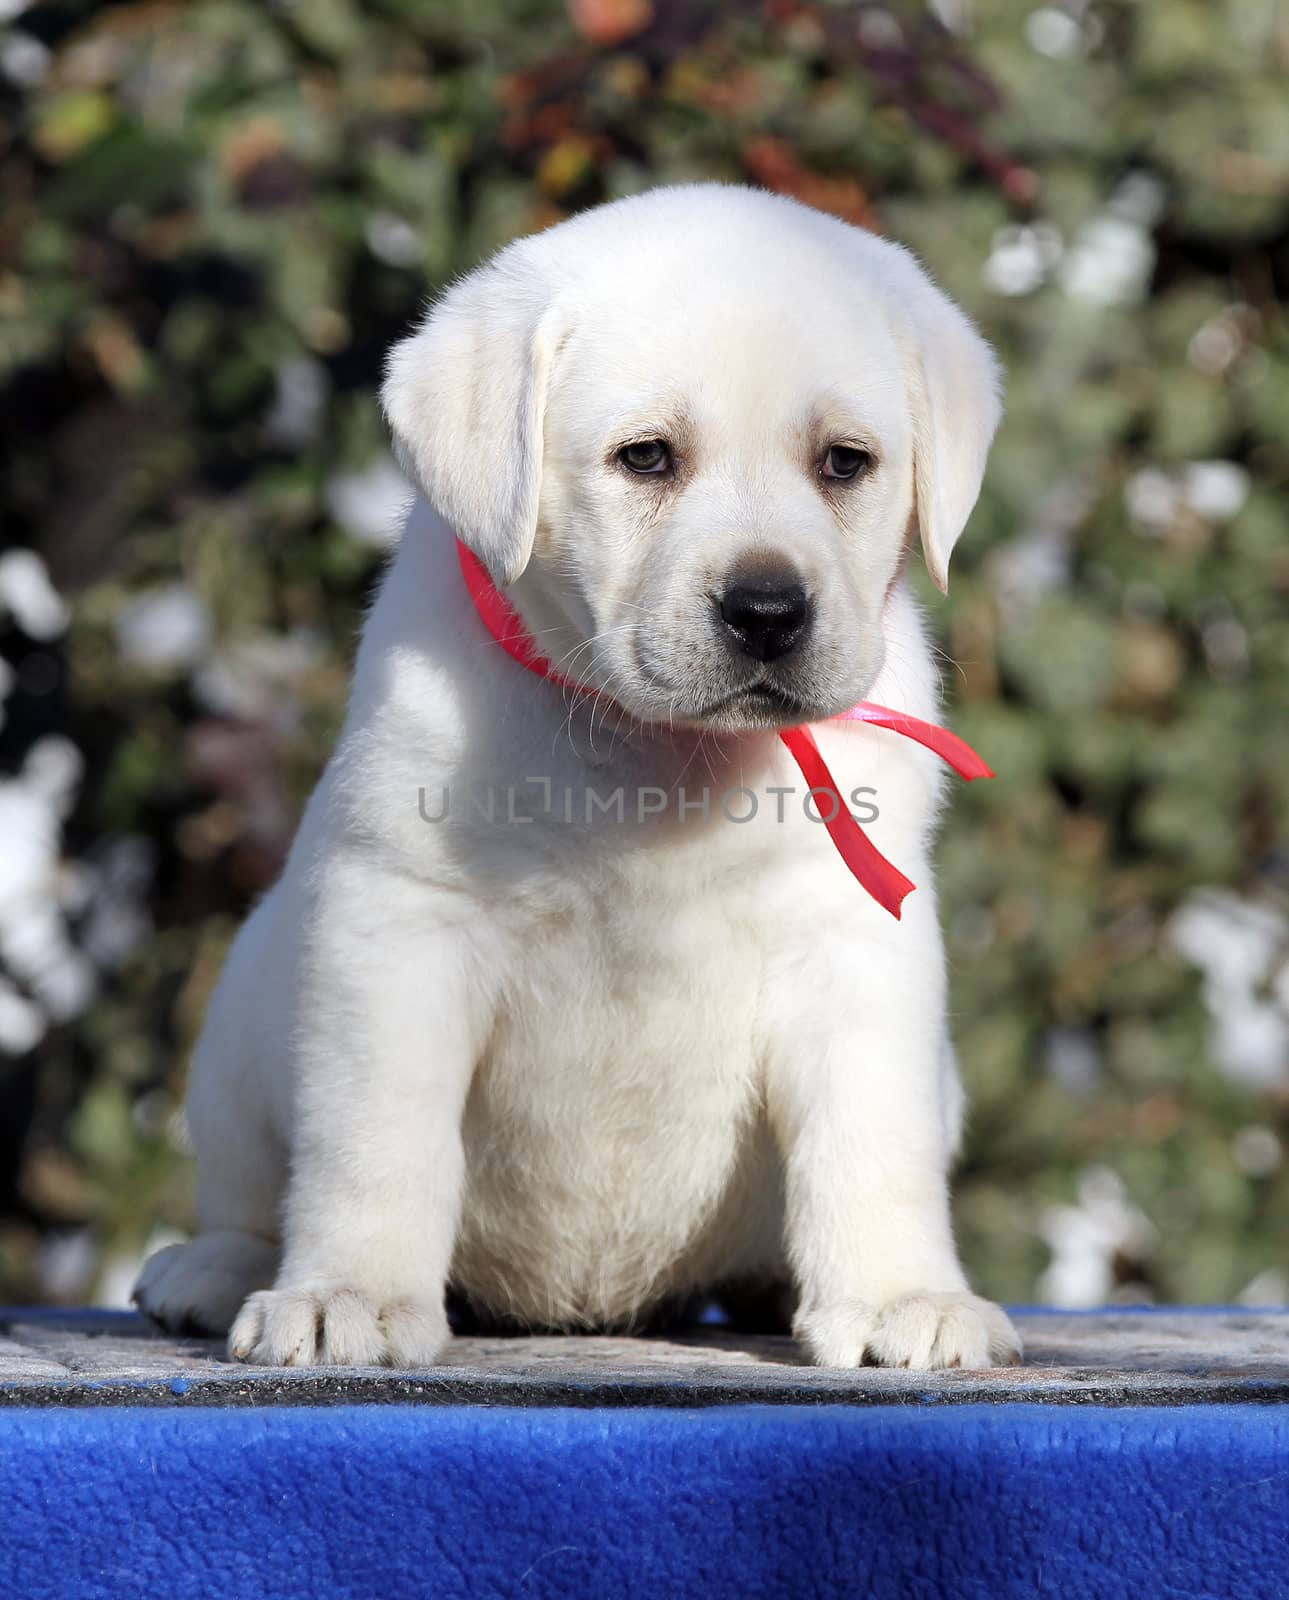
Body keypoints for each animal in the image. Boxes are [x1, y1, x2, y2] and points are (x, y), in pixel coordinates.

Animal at [135, 181, 1023, 1369]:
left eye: (844, 462)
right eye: (644, 458)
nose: (767, 611)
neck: (657, 753)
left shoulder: (850, 945)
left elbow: (871, 1140)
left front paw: (898, 1299)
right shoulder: (399, 929)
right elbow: (377, 1141)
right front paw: (350, 1294)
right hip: (238, 1030)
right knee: (244, 1192)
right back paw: (214, 1268)